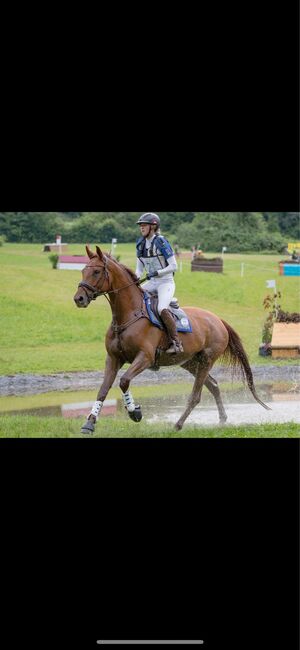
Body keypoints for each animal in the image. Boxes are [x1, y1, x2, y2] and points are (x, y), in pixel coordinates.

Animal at [73, 243, 270, 430]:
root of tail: (218, 320)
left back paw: (178, 424)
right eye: (83, 270)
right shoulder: (113, 358)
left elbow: (124, 381)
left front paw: (134, 412)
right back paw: (222, 419)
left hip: (206, 360)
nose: (79, 299)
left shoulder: (145, 357)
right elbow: (103, 389)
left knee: (196, 395)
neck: (128, 315)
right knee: (213, 386)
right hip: (190, 362)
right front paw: (89, 424)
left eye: (97, 271)